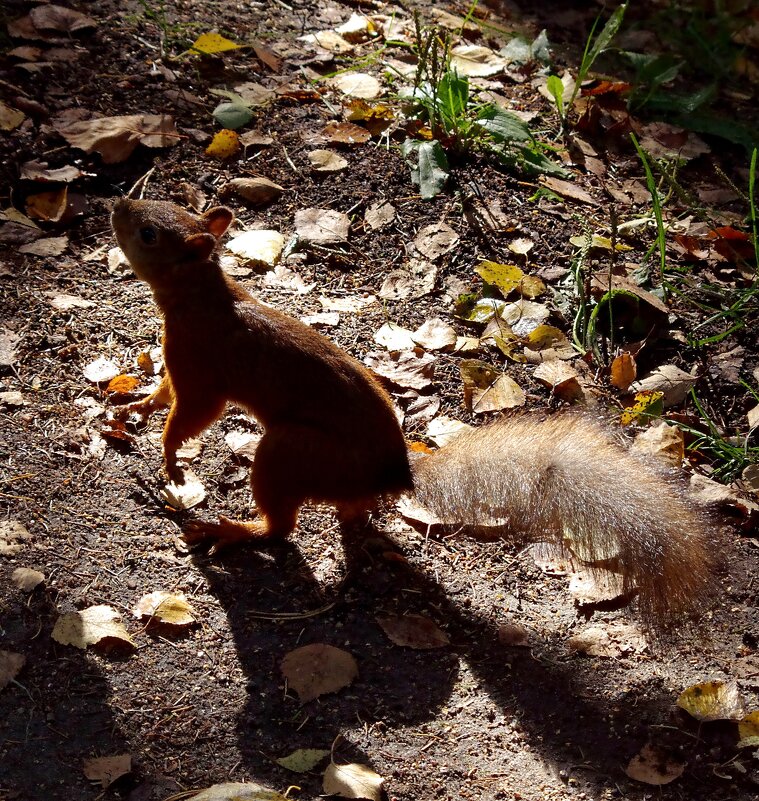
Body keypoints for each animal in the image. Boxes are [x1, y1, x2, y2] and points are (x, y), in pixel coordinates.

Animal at [110, 197, 716, 628]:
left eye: (149, 233)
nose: (118, 205)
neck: (202, 296)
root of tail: (393, 476)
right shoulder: (179, 368)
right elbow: (164, 394)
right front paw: (136, 404)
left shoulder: (203, 371)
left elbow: (192, 414)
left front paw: (169, 457)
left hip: (289, 451)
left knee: (280, 530)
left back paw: (227, 528)